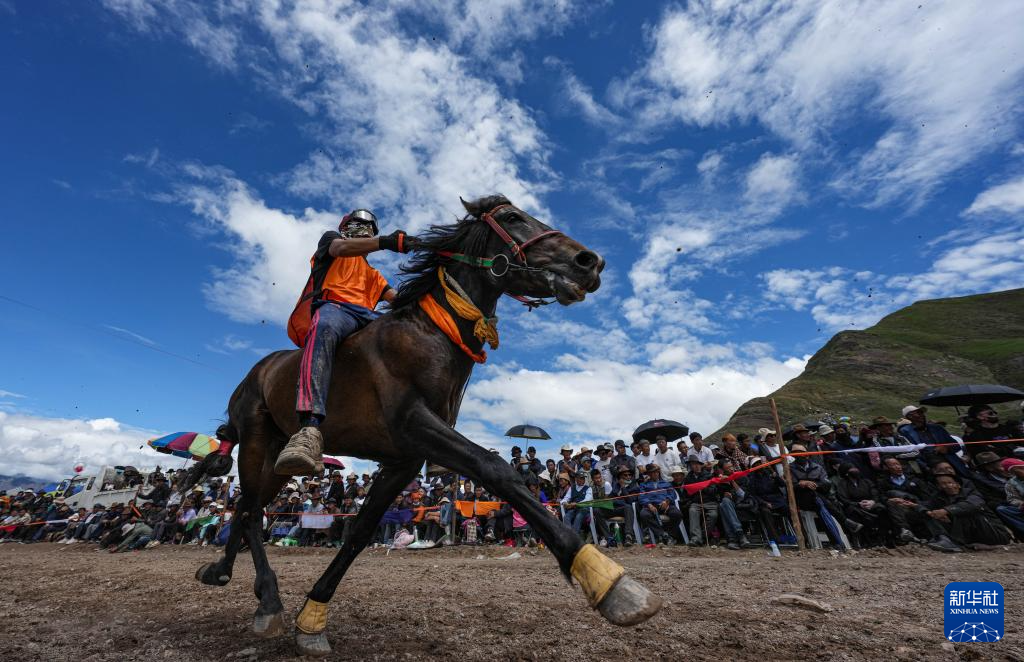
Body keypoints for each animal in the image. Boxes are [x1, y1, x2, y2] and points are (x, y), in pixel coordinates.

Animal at [181, 195, 662, 655]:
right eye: (512, 216)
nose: (590, 261)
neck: (430, 336)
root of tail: (256, 372)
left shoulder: (406, 460)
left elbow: (358, 533)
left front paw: (313, 617)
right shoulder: (415, 425)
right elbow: (497, 470)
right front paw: (607, 579)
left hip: (280, 458)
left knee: (249, 508)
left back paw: (226, 573)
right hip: (258, 439)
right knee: (250, 508)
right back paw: (267, 599)